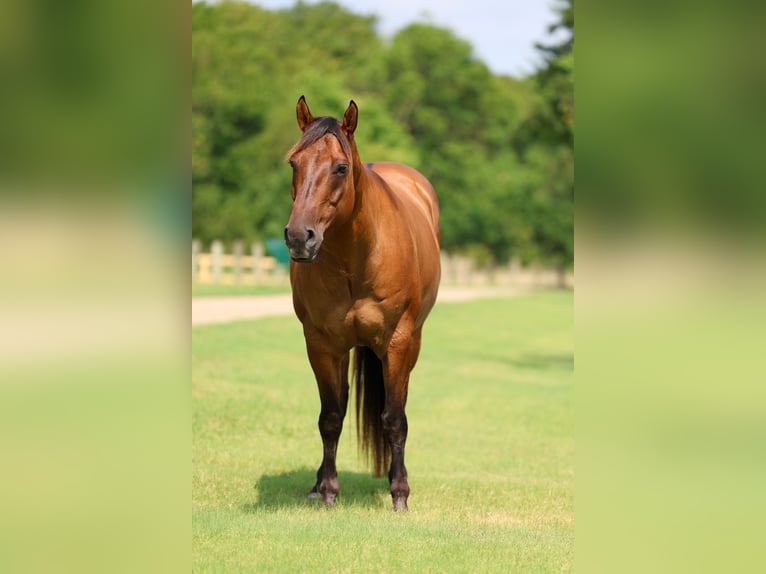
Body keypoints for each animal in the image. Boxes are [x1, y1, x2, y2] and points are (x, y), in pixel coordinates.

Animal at [283, 96, 441, 511]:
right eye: (293, 162)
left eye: (340, 167)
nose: (299, 237)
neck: (357, 259)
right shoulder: (321, 344)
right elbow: (330, 417)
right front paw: (326, 491)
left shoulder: (398, 343)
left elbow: (394, 418)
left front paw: (399, 493)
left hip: (411, 344)